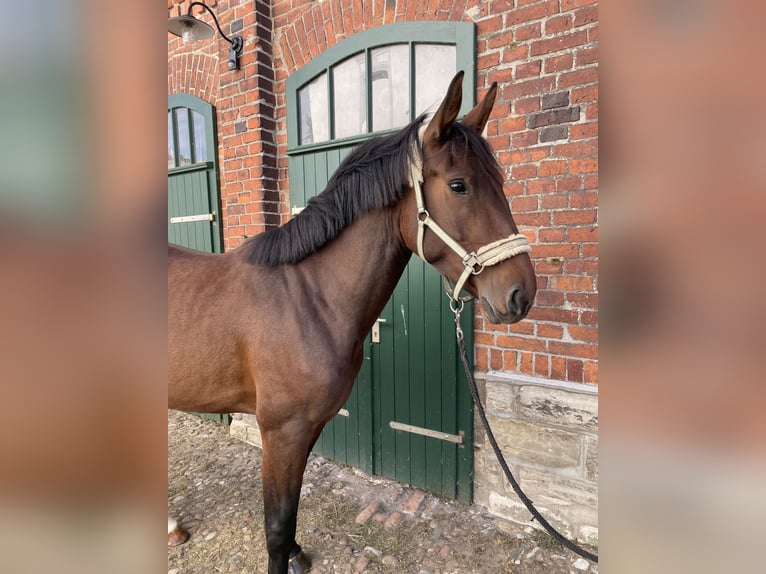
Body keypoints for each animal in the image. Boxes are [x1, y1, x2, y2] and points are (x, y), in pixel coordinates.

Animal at [168, 72, 540, 574]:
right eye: (460, 185)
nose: (522, 293)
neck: (308, 299)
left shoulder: (307, 429)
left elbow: (291, 515)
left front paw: (299, 554)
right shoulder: (280, 432)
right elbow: (276, 526)